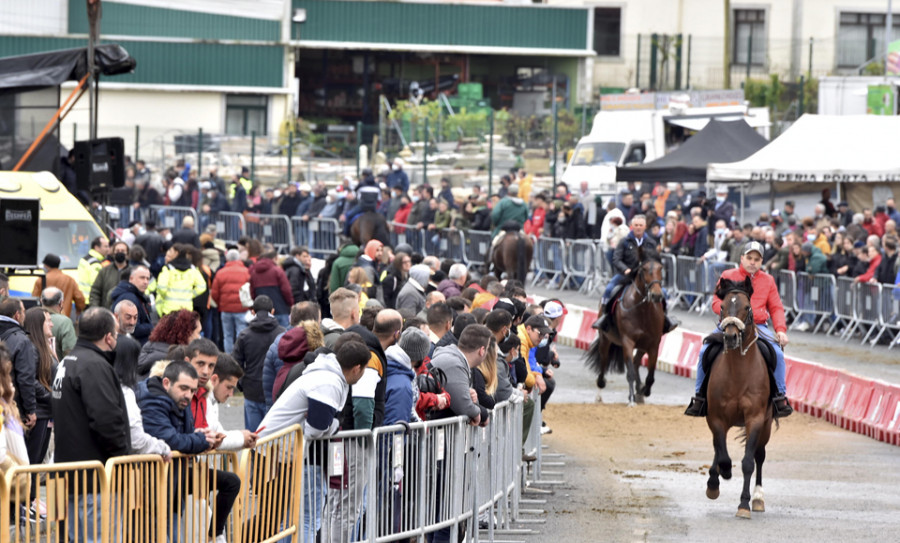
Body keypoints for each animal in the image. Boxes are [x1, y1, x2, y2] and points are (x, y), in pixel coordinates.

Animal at [588, 258, 664, 406]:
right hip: (605, 339)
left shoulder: (653, 344)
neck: (643, 310)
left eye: (660, 268)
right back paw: (600, 391)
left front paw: (644, 391)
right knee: (604, 363)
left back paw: (639, 391)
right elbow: (630, 373)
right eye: (644, 270)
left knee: (636, 363)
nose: (656, 295)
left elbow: (650, 376)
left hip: (642, 346)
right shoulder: (627, 341)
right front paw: (632, 400)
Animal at [704, 278, 772, 520]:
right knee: (718, 447)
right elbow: (722, 455)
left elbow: (748, 463)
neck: (738, 373)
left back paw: (759, 498)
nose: (731, 337)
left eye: (747, 307)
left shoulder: (755, 418)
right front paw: (717, 479)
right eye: (723, 306)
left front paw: (744, 504)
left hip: (766, 425)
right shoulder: (715, 418)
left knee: (759, 455)